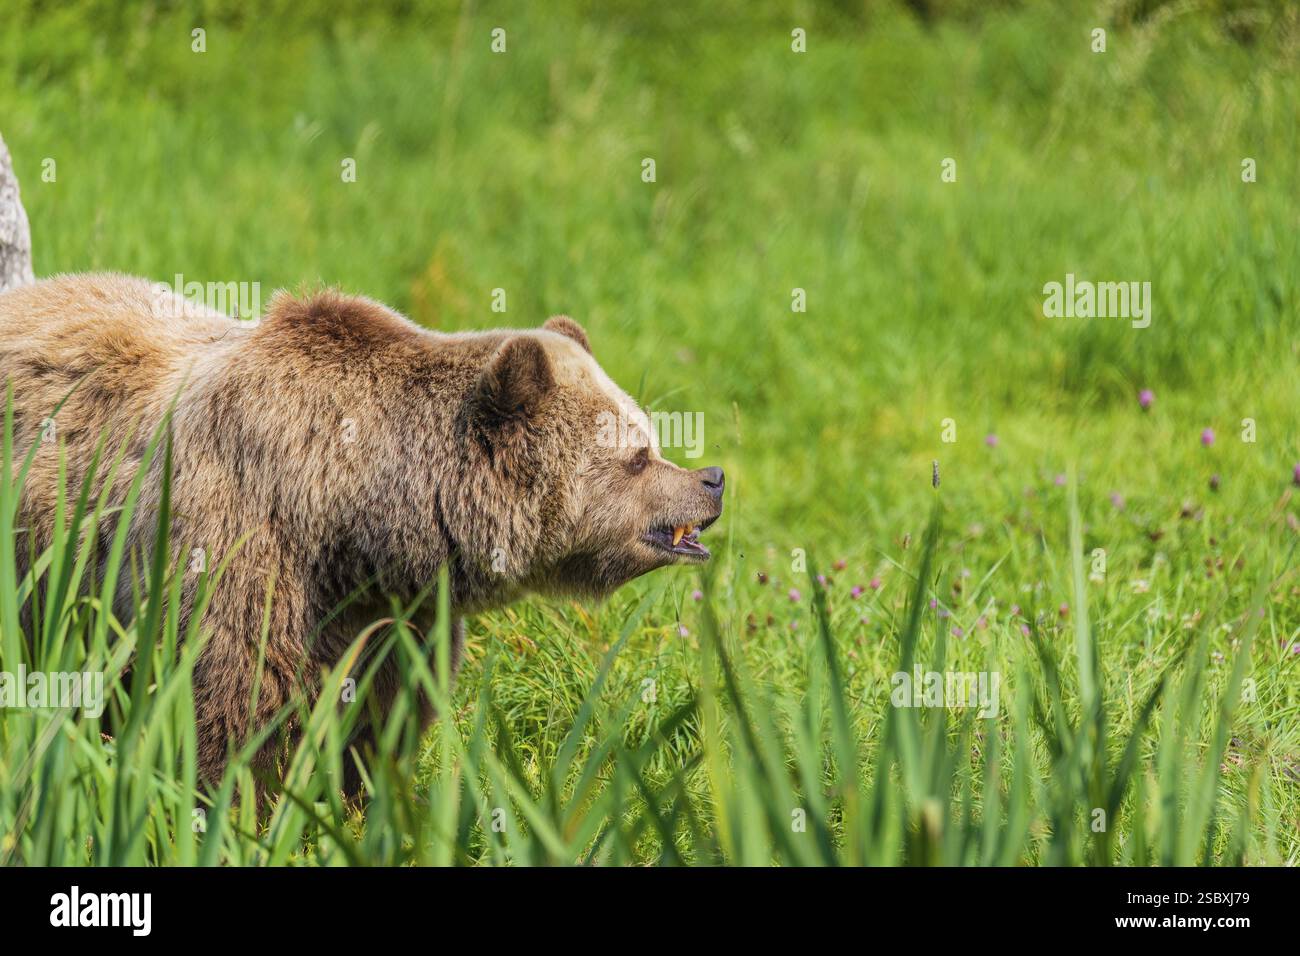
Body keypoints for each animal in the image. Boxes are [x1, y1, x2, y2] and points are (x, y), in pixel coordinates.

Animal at [0, 273, 724, 790]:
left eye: (652, 438)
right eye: (638, 456)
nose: (712, 478)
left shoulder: (394, 619)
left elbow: (374, 721)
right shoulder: (239, 554)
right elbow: (230, 712)